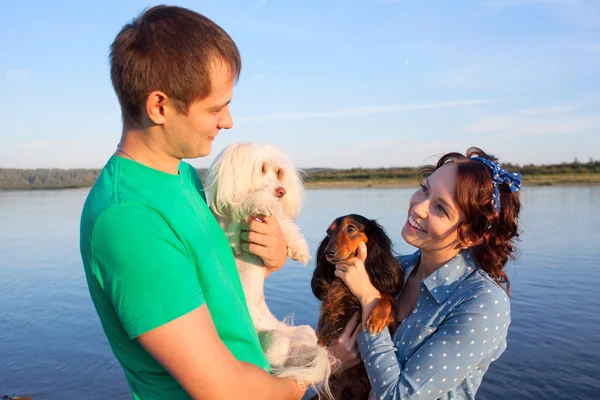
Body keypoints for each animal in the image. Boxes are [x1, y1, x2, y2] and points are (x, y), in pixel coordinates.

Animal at [205, 142, 338, 396]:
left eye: (279, 172)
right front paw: (264, 202)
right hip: (273, 340)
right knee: (277, 362)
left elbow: (283, 224)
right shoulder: (228, 224)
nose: (281, 192)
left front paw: (298, 247)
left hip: (305, 331)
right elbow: (247, 203)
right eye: (261, 169)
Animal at [310, 214, 404, 398]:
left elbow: (386, 297)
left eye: (351, 228)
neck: (346, 289)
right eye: (328, 232)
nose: (328, 253)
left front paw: (377, 318)